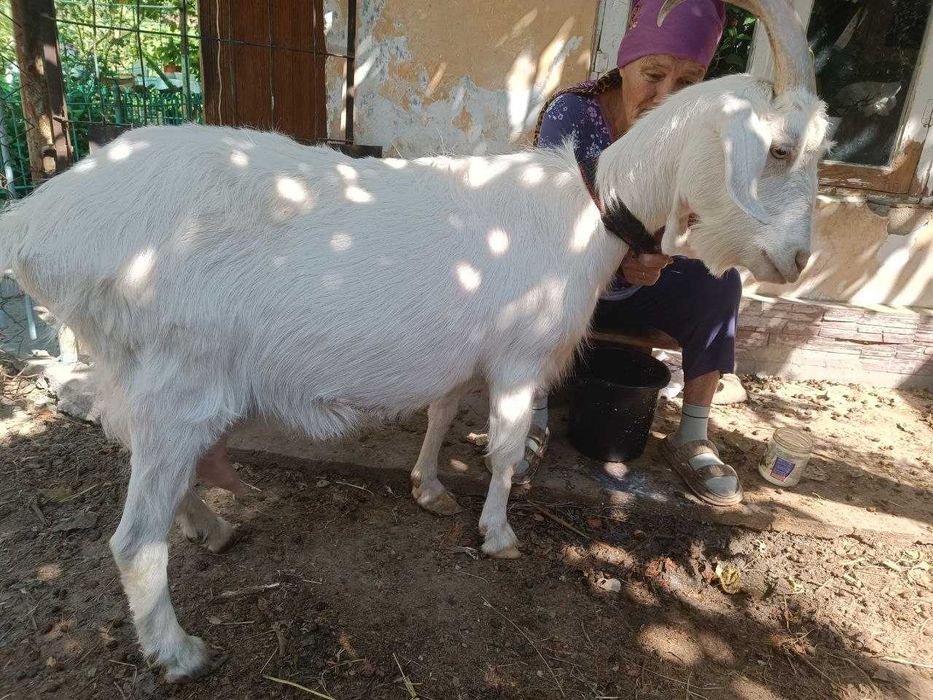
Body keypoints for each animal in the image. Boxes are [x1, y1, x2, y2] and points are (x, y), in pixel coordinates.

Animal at [0, 0, 829, 681]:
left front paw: (428, 488)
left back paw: (210, 528)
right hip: (181, 376)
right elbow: (503, 450)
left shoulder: (463, 354)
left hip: (134, 367)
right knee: (134, 537)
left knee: (141, 458)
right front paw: (497, 533)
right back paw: (177, 650)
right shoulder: (519, 359)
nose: (796, 260)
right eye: (780, 149)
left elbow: (439, 414)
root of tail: (39, 221)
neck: (590, 204)